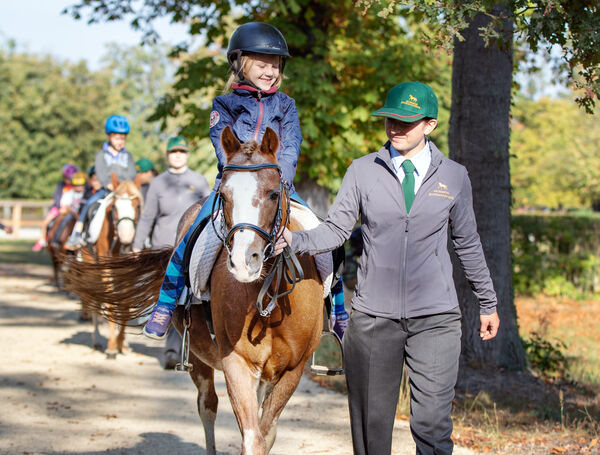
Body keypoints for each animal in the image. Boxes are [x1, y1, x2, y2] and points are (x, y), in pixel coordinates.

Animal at [65, 126, 324, 454]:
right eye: (223, 195)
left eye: (274, 193)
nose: (244, 261)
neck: (269, 298)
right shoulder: (236, 363)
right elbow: (252, 436)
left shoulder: (292, 371)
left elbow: (266, 434)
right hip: (200, 359)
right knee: (207, 406)